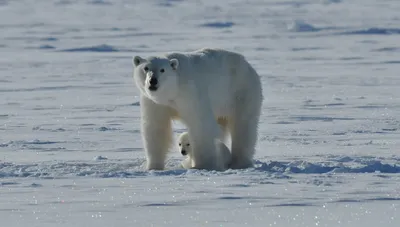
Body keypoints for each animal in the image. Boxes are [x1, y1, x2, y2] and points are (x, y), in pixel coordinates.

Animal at [131, 48, 262, 171]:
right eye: (146, 68)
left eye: (162, 70)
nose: (153, 81)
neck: (173, 90)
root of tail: (248, 65)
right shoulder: (154, 102)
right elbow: (156, 128)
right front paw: (153, 167)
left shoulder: (191, 93)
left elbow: (200, 125)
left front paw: (202, 165)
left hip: (241, 92)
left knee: (243, 126)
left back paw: (240, 163)